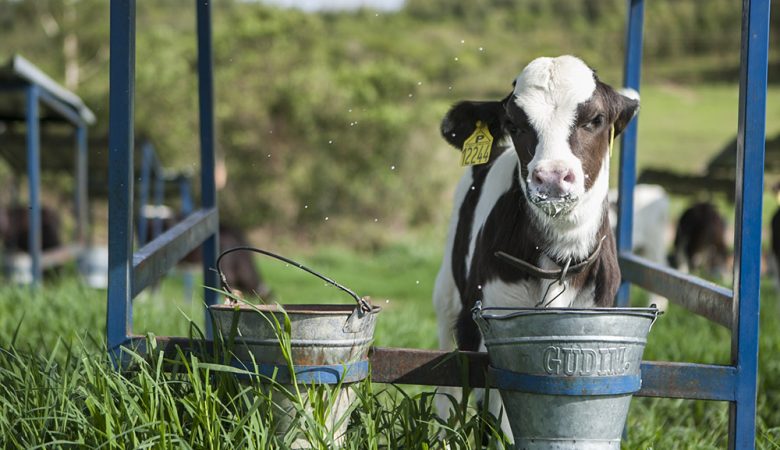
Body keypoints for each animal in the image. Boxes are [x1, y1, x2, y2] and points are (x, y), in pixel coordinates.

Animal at [432, 54, 640, 438]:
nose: (552, 177)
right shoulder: (487, 322)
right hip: (448, 298)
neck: (560, 257)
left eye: (595, 119)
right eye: (513, 123)